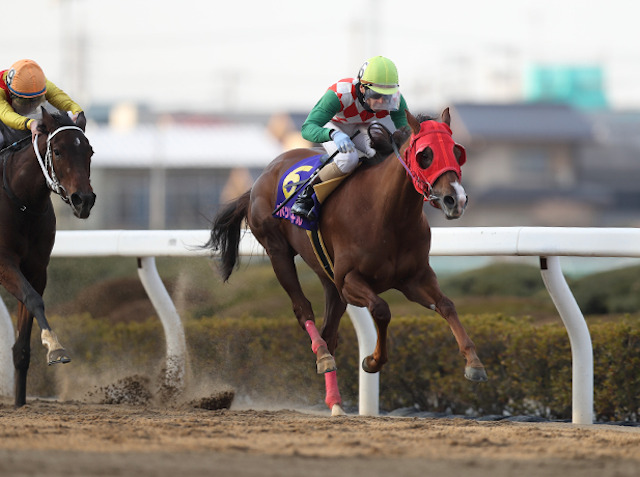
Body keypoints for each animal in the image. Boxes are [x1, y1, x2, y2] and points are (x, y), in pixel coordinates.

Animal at [0, 108, 95, 406]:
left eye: (89, 151)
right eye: (58, 151)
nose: (83, 200)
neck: (22, 202)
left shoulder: (37, 268)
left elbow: (24, 336)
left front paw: (20, 403)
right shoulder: (4, 262)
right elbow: (32, 299)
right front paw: (55, 347)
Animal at [208, 108, 488, 412]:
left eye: (457, 151)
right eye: (425, 154)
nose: (455, 200)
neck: (386, 213)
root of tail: (260, 179)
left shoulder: (415, 278)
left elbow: (446, 305)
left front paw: (474, 363)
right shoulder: (350, 279)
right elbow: (381, 309)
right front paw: (372, 360)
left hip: (326, 275)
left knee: (330, 331)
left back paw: (335, 402)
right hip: (278, 251)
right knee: (303, 310)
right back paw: (322, 357)